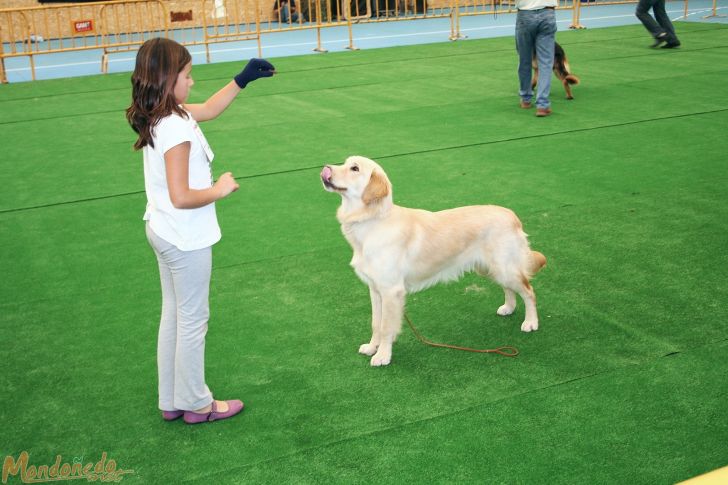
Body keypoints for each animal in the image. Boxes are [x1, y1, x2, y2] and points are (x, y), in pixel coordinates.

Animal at [320, 157, 544, 364]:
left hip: (504, 267)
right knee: (509, 289)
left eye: (354, 168)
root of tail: (512, 215)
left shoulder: (391, 290)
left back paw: (531, 322)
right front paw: (371, 347)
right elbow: (376, 323)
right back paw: (508, 308)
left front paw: (383, 355)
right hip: (491, 268)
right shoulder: (375, 289)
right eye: (345, 162)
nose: (326, 168)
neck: (373, 219)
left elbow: (385, 326)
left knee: (529, 291)